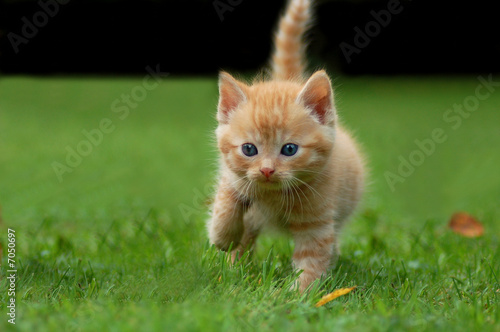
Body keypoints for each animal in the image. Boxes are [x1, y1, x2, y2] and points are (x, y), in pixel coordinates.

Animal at [206, 0, 364, 290]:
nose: (267, 170)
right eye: (249, 149)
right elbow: (225, 200)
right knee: (246, 238)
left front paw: (298, 293)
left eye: (289, 149)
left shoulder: (317, 222)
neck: (275, 196)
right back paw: (234, 271)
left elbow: (312, 258)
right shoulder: (231, 175)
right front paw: (222, 235)